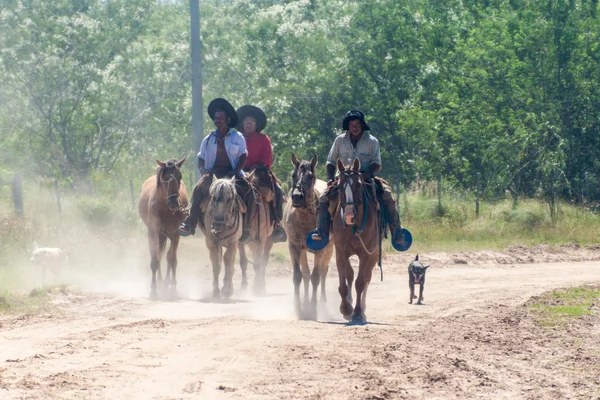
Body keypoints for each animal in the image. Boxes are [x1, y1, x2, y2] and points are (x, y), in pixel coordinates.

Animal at [138, 158, 188, 298]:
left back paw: (166, 283)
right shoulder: (152, 233)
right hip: (160, 235)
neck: (165, 208)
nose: (174, 203)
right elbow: (155, 259)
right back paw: (160, 282)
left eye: (179, 176)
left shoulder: (175, 235)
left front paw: (173, 289)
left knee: (167, 256)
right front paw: (153, 290)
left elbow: (172, 260)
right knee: (159, 253)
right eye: (165, 178)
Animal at [239, 164, 276, 296]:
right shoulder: (240, 242)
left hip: (268, 240)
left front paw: (259, 288)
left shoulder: (262, 239)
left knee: (263, 261)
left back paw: (261, 285)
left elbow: (258, 263)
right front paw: (244, 286)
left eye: (249, 194)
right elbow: (243, 262)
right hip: (252, 242)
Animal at [282, 153, 332, 318]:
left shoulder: (321, 250)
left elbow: (316, 277)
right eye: (293, 175)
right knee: (305, 274)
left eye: (310, 176)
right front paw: (299, 308)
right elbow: (299, 276)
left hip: (330, 249)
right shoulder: (294, 247)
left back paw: (322, 301)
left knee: (323, 271)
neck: (304, 217)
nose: (297, 196)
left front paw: (313, 308)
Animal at [332, 157, 380, 324]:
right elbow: (343, 283)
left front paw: (358, 313)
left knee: (366, 278)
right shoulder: (340, 252)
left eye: (358, 184)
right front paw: (346, 309)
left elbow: (360, 282)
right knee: (351, 275)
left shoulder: (366, 254)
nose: (348, 215)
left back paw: (362, 310)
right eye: (339, 185)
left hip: (374, 255)